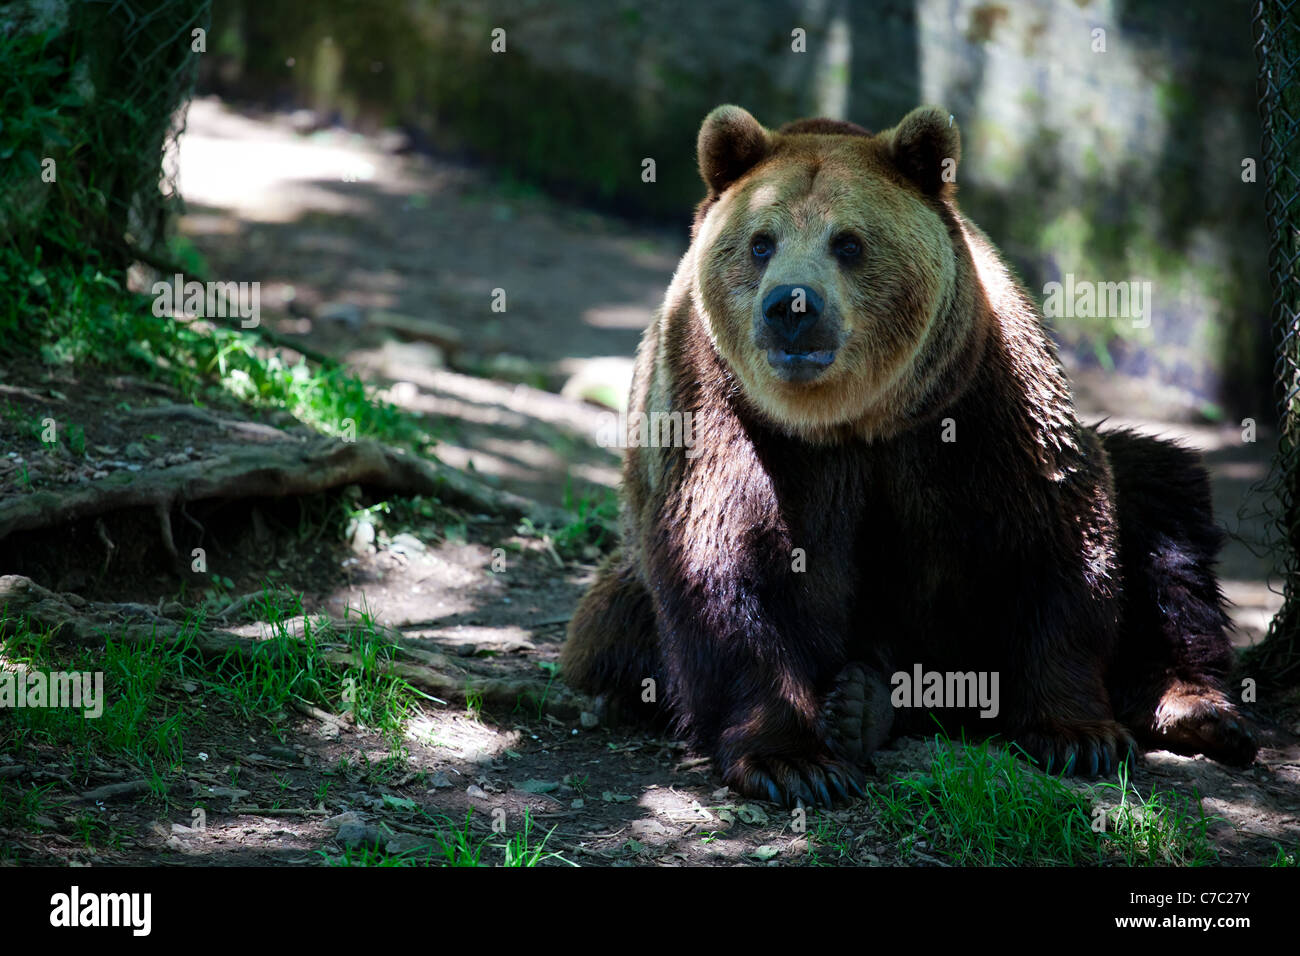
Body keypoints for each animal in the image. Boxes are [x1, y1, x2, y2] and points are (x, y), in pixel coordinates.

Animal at [561, 102, 1258, 806]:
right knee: (611, 635)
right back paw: (860, 704)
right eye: (761, 242)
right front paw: (795, 761)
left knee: (1164, 501)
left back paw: (1192, 707)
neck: (850, 419)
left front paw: (1079, 733)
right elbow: (730, 564)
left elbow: (1057, 533)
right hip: (625, 593)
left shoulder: (976, 397)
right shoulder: (718, 412)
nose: (792, 306)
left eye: (848, 242)